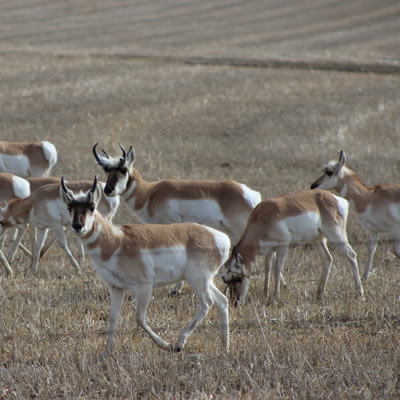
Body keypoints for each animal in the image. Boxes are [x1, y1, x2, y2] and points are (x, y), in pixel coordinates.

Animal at [61, 175, 231, 354]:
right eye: (69, 208)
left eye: (92, 207)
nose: (77, 226)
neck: (117, 241)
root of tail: (220, 238)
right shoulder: (116, 288)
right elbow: (113, 318)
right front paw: (108, 351)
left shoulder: (144, 287)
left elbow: (139, 319)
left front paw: (165, 344)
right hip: (205, 281)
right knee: (222, 301)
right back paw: (225, 347)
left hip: (197, 281)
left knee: (207, 303)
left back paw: (179, 344)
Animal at [94, 144, 262, 294]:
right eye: (106, 169)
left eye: (123, 170)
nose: (108, 190)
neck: (151, 193)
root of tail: (250, 193)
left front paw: (175, 290)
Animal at [220, 189, 364, 304]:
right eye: (226, 280)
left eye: (238, 278)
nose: (235, 303)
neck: (263, 217)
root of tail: (336, 199)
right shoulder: (269, 250)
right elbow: (267, 268)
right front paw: (266, 294)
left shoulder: (283, 247)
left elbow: (277, 269)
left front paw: (275, 297)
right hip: (317, 241)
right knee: (327, 259)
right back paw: (319, 294)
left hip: (336, 237)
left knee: (352, 255)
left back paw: (360, 294)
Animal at [310, 152, 400, 280]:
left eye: (329, 172)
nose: (313, 186)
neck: (370, 197)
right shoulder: (373, 230)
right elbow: (371, 250)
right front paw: (364, 277)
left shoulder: (395, 230)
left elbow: (396, 252)